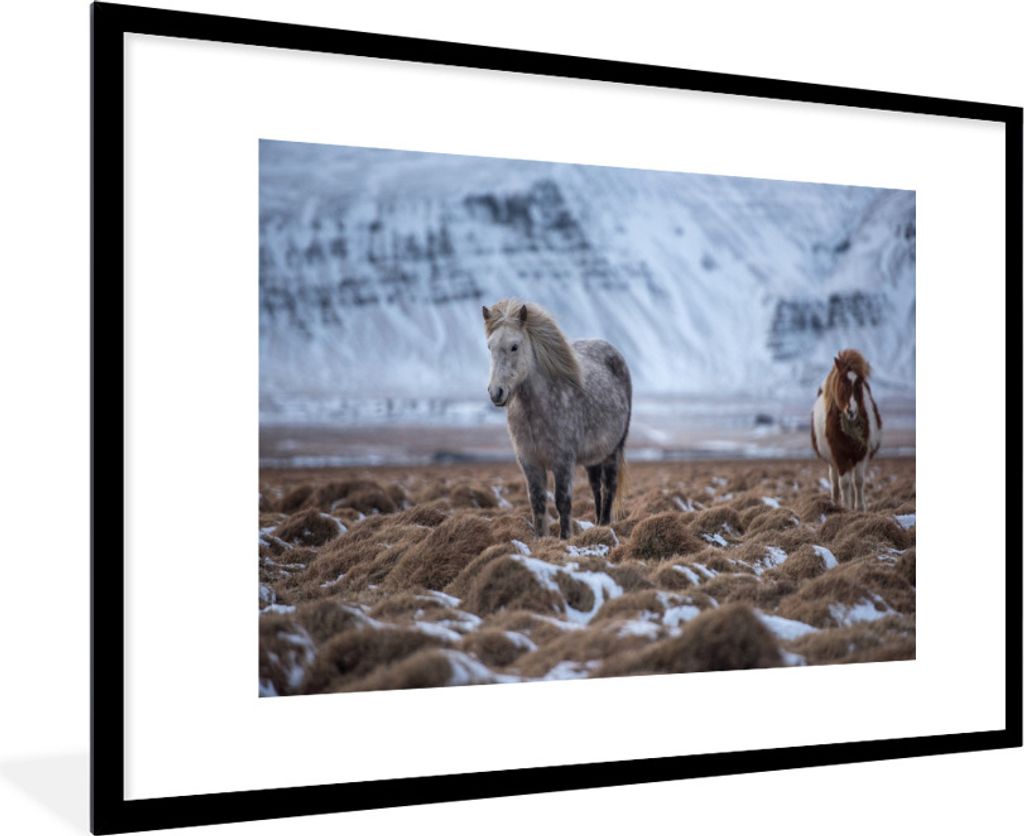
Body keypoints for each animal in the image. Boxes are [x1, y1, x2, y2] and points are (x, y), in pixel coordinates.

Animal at [482, 299, 632, 539]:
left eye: (514, 346)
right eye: (490, 347)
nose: (496, 392)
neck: (535, 412)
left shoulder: (563, 461)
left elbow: (563, 501)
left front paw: (564, 538)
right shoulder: (529, 462)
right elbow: (537, 502)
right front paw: (540, 538)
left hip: (614, 450)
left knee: (609, 486)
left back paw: (605, 524)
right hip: (593, 457)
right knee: (595, 487)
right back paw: (598, 524)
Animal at [811, 348, 883, 511]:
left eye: (860, 382)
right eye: (843, 380)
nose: (851, 411)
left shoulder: (861, 453)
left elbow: (859, 480)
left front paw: (860, 508)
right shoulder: (839, 454)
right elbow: (843, 483)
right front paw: (847, 508)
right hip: (832, 461)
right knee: (835, 481)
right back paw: (835, 502)